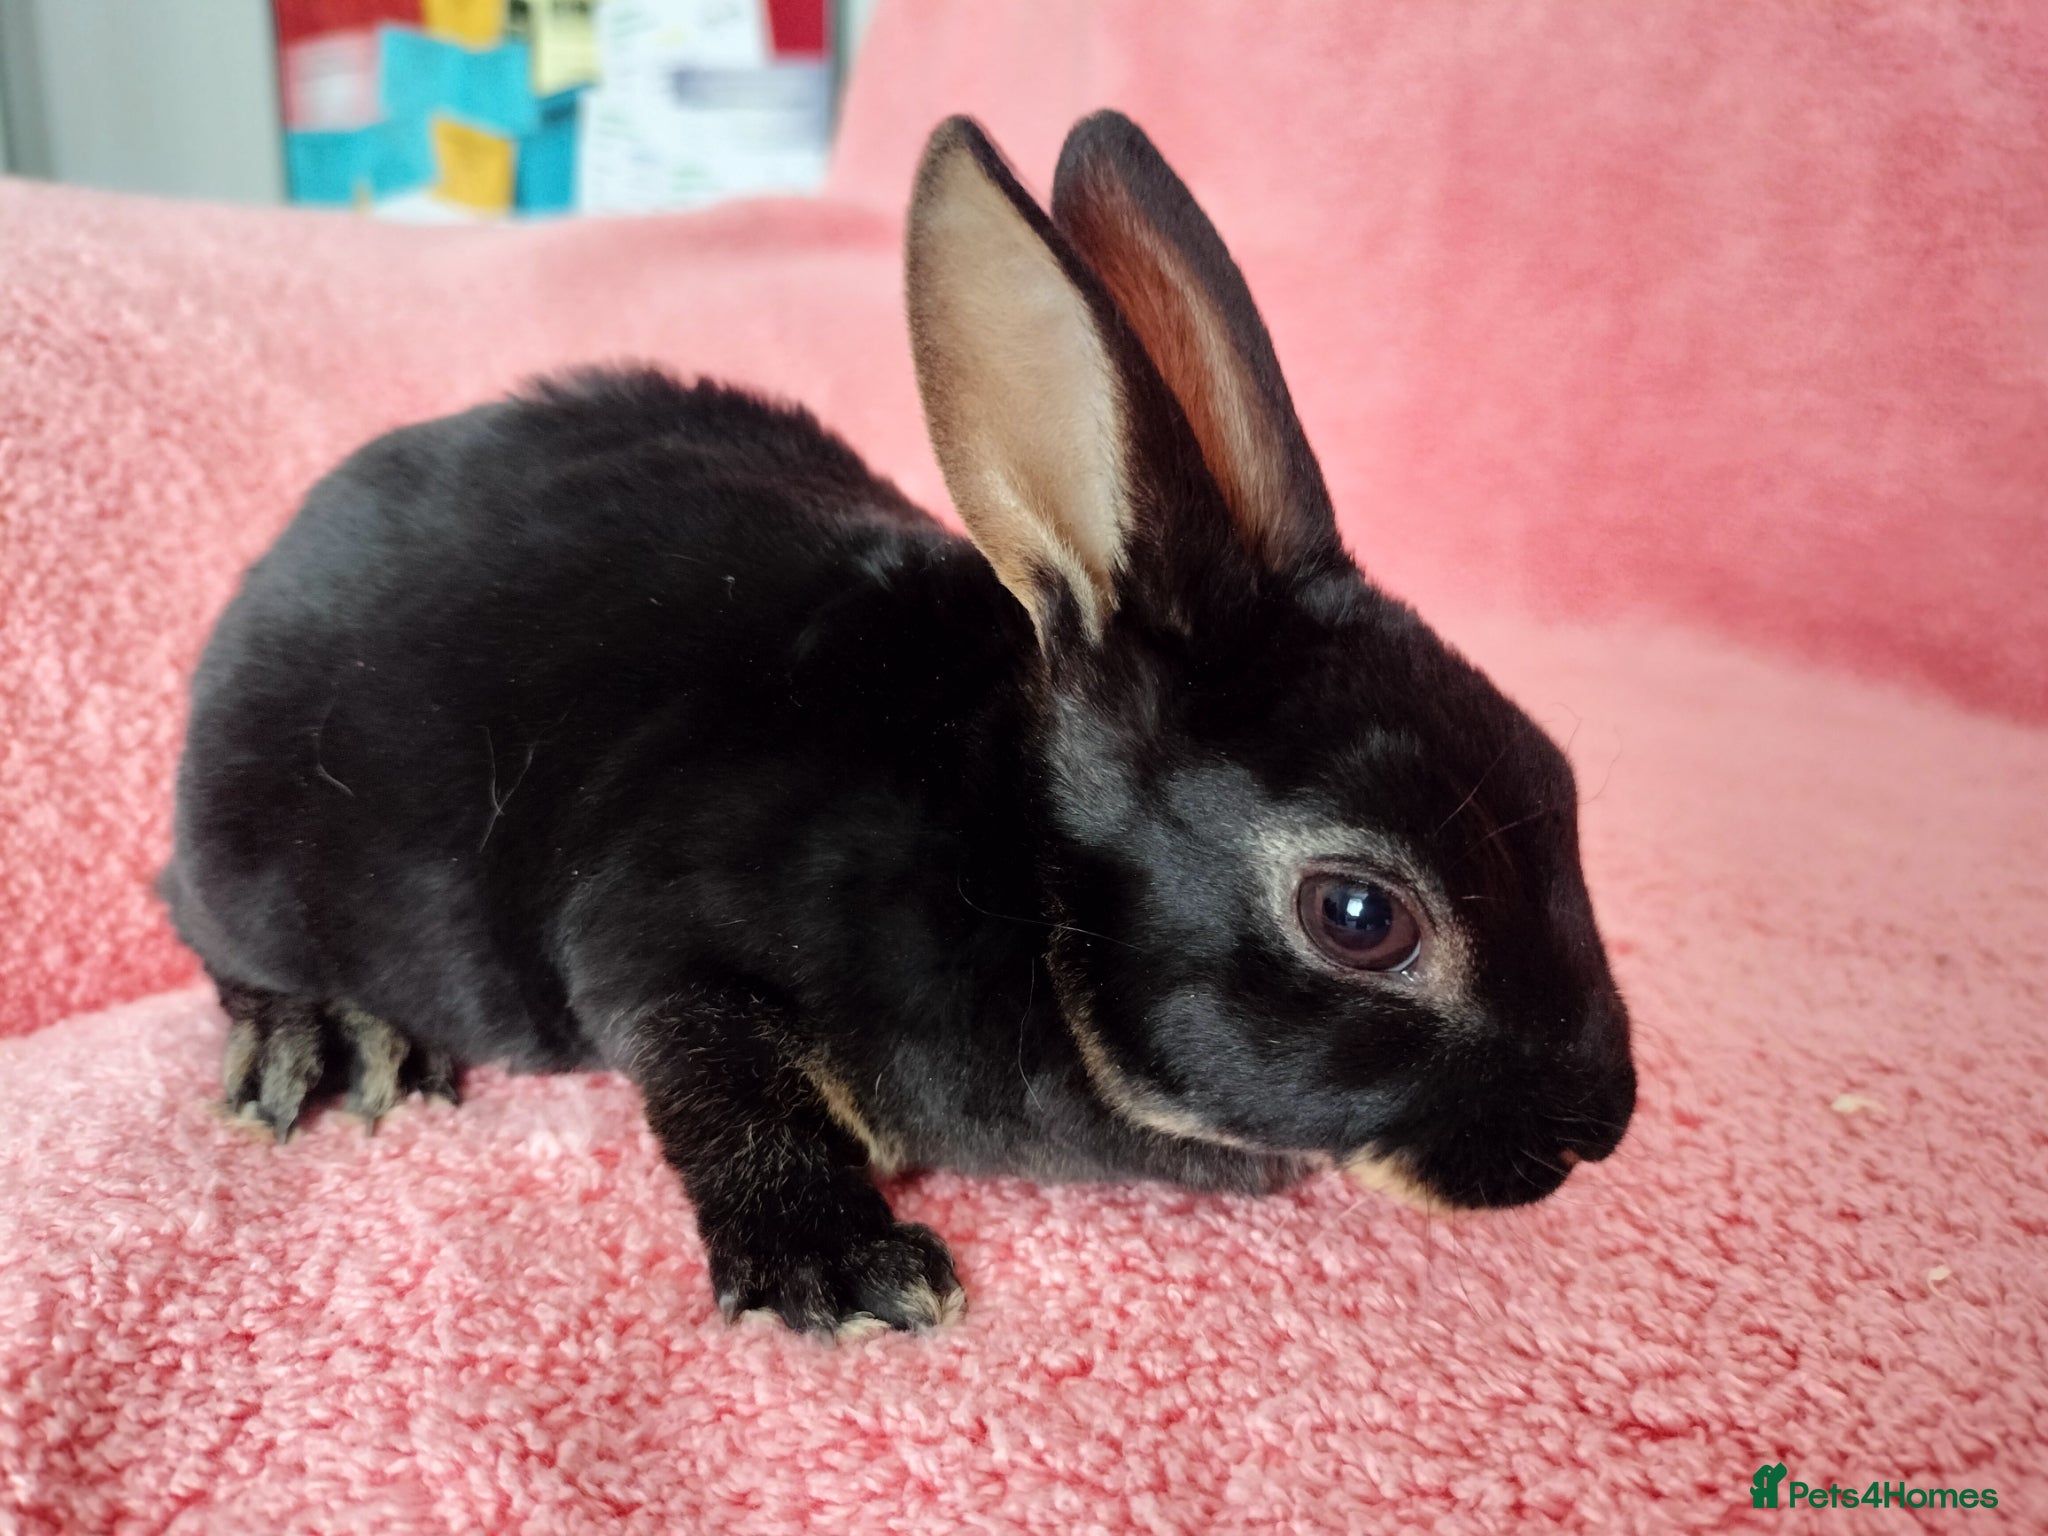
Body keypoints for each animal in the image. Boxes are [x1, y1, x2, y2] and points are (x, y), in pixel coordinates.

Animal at [161, 111, 1636, 1338]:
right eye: (1358, 916)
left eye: (1561, 780)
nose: (1601, 1124)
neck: (1016, 866)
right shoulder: (660, 943)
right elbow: (728, 1100)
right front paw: (845, 1277)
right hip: (256, 868)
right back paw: (323, 1044)